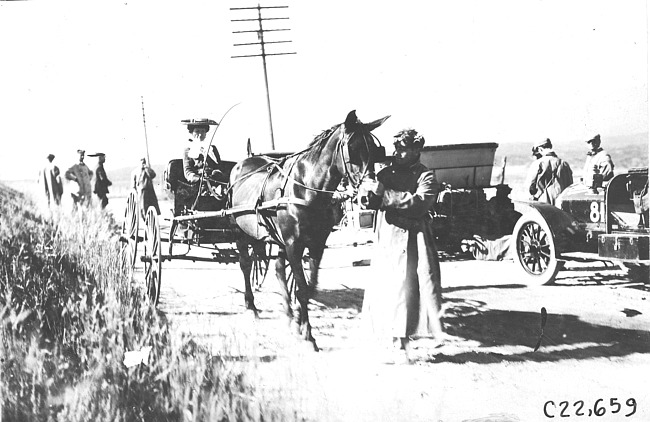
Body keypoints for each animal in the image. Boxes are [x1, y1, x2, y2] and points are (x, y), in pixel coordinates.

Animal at [229, 109, 388, 350]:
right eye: (352, 150)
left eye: (375, 151)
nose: (369, 196)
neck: (306, 188)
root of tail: (243, 162)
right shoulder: (294, 245)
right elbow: (302, 289)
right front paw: (309, 336)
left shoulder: (316, 244)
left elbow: (309, 287)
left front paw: (299, 324)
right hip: (241, 232)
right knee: (246, 265)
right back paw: (251, 306)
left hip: (277, 239)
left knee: (278, 269)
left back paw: (288, 314)